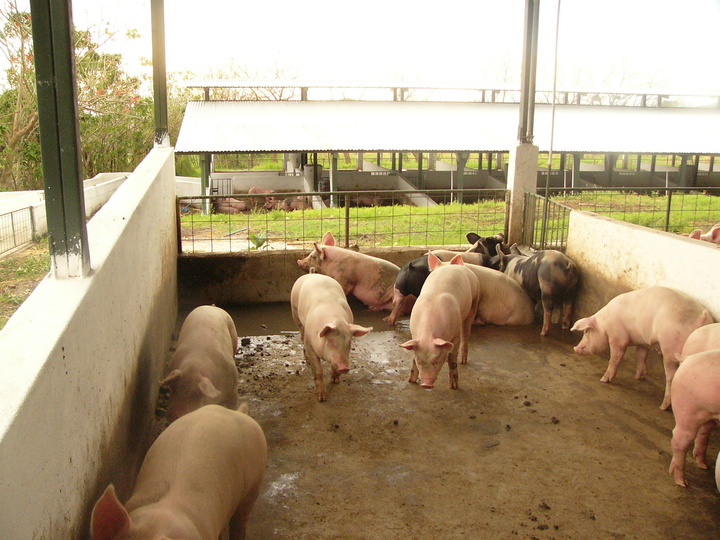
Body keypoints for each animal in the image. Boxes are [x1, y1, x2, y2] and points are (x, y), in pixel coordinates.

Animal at [291, 272, 372, 401]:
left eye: (349, 344)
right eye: (331, 342)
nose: (344, 367)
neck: (336, 319)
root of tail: (311, 274)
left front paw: (335, 381)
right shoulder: (311, 346)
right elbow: (318, 371)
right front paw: (321, 398)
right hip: (295, 312)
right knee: (302, 336)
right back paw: (307, 360)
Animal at [399, 253, 479, 389]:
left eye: (436, 360)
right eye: (419, 360)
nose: (426, 384)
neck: (428, 331)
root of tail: (449, 264)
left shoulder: (454, 336)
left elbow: (452, 359)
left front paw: (453, 386)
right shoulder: (414, 335)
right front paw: (411, 381)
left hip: (474, 301)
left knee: (465, 332)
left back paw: (463, 361)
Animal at [571, 286, 713, 410]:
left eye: (587, 332)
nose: (575, 348)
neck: (604, 323)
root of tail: (700, 318)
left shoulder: (618, 337)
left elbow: (615, 358)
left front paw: (604, 379)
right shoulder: (643, 343)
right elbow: (641, 356)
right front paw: (639, 377)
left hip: (671, 348)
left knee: (671, 377)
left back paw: (663, 407)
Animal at [668, 350, 720, 487]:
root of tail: (687, 358)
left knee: (703, 432)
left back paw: (704, 465)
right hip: (688, 409)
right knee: (680, 440)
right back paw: (683, 483)